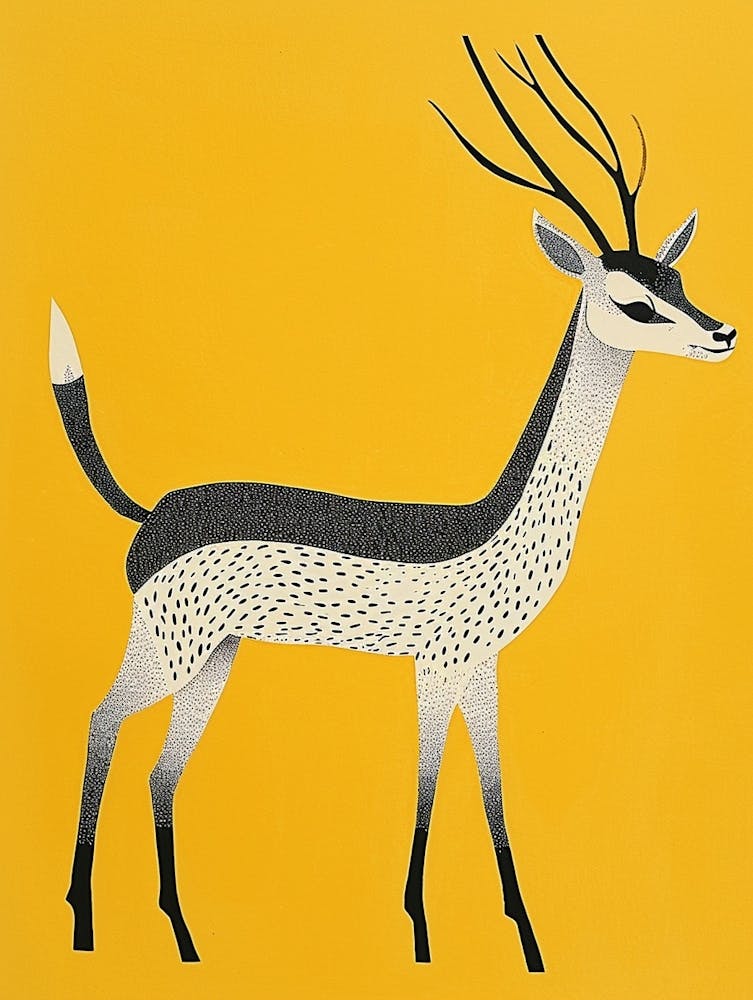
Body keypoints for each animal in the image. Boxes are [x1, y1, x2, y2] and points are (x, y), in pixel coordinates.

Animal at [54, 34, 736, 972]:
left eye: (676, 276)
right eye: (633, 300)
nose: (722, 333)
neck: (495, 530)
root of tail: (150, 512)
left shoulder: (483, 670)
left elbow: (491, 793)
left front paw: (528, 943)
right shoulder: (435, 667)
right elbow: (426, 787)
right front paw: (418, 934)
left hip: (217, 654)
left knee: (161, 768)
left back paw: (187, 940)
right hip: (169, 647)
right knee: (97, 723)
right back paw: (85, 925)